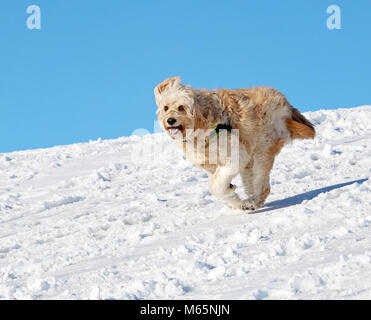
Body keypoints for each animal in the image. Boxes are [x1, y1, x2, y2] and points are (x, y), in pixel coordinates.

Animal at [153, 76, 314, 211]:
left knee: (262, 185)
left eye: (181, 107)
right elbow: (218, 180)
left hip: (262, 151)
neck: (202, 121)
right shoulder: (208, 162)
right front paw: (234, 198)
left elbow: (216, 186)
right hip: (250, 161)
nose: (170, 120)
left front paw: (235, 199)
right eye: (165, 108)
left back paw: (253, 202)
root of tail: (287, 107)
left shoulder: (235, 155)